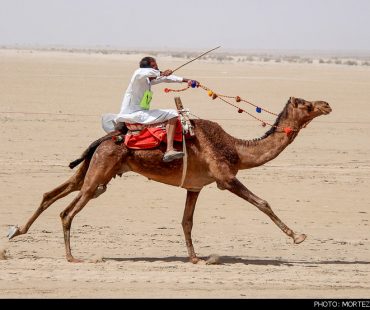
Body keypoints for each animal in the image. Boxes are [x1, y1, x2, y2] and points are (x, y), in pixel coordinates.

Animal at [5, 95, 330, 262]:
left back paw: (14, 233)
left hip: (92, 167)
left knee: (53, 192)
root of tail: (105, 139)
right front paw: (298, 236)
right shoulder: (225, 178)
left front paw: (196, 258)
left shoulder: (195, 186)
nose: (326, 104)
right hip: (100, 170)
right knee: (68, 209)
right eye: (306, 104)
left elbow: (186, 221)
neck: (236, 148)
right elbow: (263, 203)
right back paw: (73, 257)